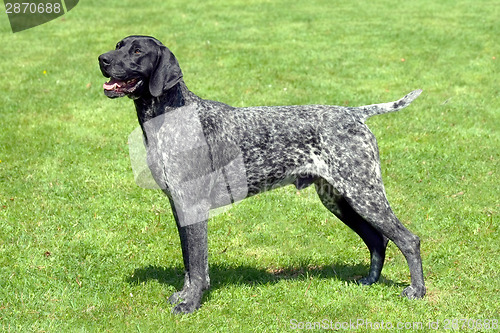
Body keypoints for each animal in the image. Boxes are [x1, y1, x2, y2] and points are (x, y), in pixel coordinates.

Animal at [97, 36, 426, 314]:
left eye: (137, 52)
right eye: (118, 45)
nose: (102, 59)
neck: (169, 117)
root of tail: (355, 114)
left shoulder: (193, 206)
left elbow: (198, 267)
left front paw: (190, 304)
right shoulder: (180, 208)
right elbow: (189, 264)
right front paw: (184, 295)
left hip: (363, 193)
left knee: (408, 240)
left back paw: (417, 291)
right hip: (339, 199)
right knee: (377, 240)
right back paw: (369, 282)